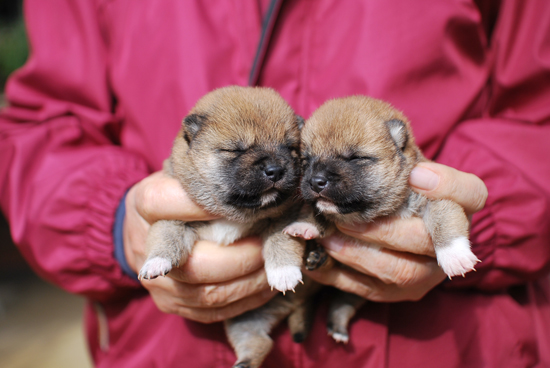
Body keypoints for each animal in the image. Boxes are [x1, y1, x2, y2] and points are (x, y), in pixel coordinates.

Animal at [138, 85, 308, 366]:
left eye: (290, 148)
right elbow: (166, 236)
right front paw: (156, 262)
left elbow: (281, 241)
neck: (234, 213)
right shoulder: (171, 216)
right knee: (258, 341)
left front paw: (283, 272)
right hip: (244, 319)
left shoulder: (285, 218)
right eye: (236, 150)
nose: (275, 169)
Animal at [286, 96, 480, 344]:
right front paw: (306, 225)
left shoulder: (435, 198)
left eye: (356, 158)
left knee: (343, 302)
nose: (316, 181)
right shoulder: (324, 210)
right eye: (306, 159)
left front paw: (454, 255)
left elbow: (443, 219)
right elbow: (317, 213)